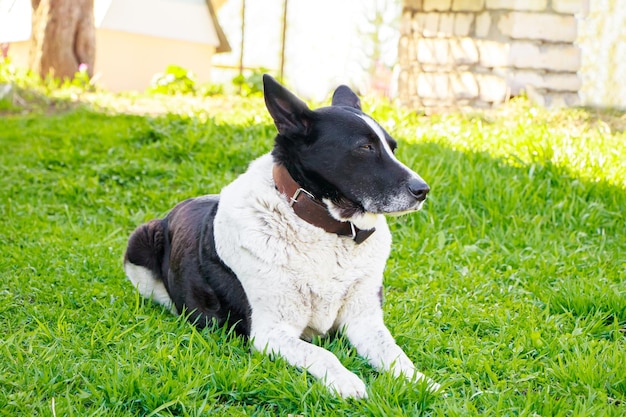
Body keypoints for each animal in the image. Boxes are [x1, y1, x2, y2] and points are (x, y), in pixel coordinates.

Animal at [124, 75, 438, 396]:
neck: (327, 228)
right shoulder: (270, 332)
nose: (423, 190)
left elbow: (394, 353)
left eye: (392, 148)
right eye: (365, 147)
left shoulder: (364, 321)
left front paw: (421, 381)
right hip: (140, 241)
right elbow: (322, 354)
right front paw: (347, 381)